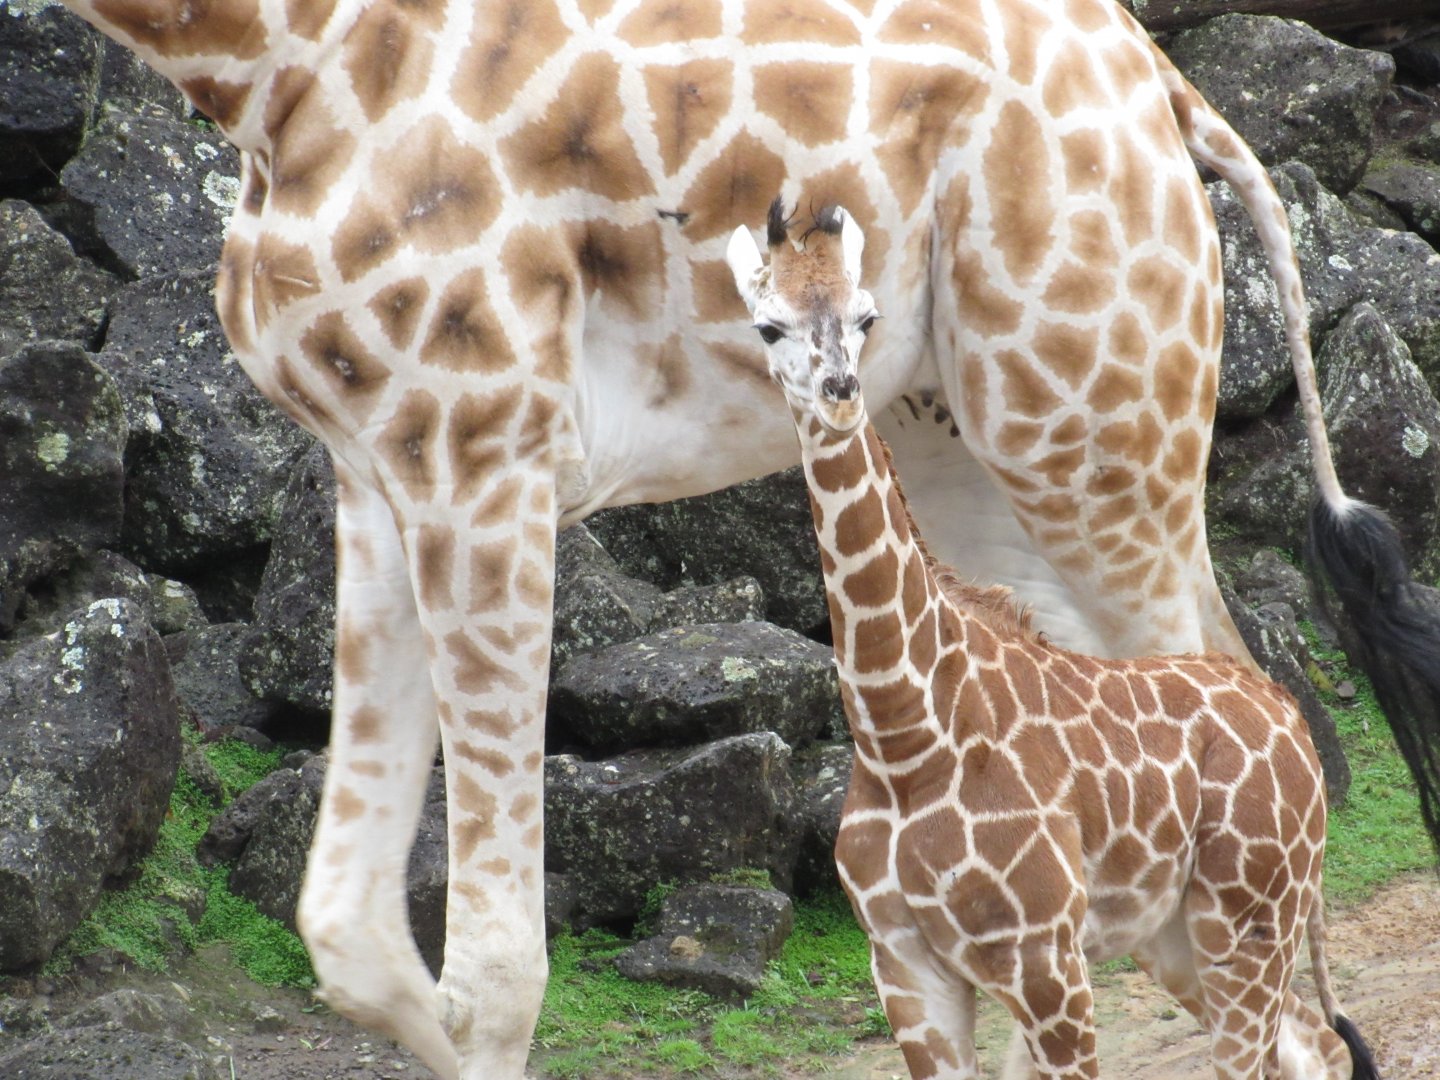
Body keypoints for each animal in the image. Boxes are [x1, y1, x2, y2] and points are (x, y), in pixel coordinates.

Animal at [725, 199, 1378, 1080]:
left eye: (866, 317)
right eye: (768, 326)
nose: (837, 391)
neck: (905, 737)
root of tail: (1287, 710)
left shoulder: (1043, 958)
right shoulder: (904, 968)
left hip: (1249, 912)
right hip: (1173, 933)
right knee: (1311, 1044)